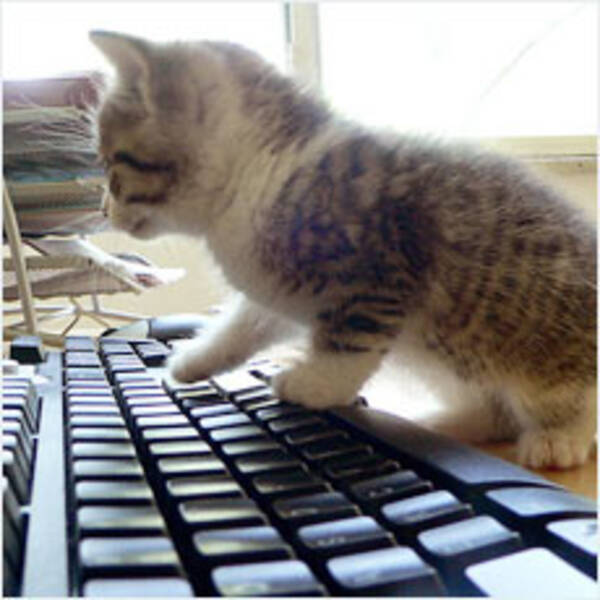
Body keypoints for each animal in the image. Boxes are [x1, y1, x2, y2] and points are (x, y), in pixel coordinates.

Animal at [90, 30, 596, 470]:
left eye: (112, 165)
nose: (102, 208)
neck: (262, 169)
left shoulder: (379, 269)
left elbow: (352, 343)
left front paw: (313, 384)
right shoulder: (277, 285)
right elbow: (247, 322)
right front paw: (195, 359)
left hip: (537, 348)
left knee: (565, 399)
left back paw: (558, 438)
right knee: (495, 414)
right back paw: (442, 422)